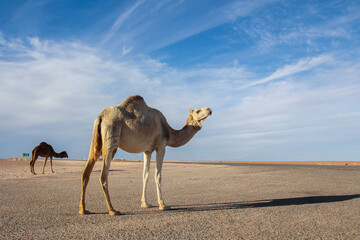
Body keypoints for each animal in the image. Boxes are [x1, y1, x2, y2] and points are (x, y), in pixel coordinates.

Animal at [79, 94, 211, 215]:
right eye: (198, 110)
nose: (209, 109)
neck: (169, 132)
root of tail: (100, 117)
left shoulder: (147, 150)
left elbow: (145, 175)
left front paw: (145, 203)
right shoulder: (161, 146)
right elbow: (158, 175)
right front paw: (162, 204)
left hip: (96, 139)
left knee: (86, 172)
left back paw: (83, 209)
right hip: (111, 137)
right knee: (103, 175)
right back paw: (112, 210)